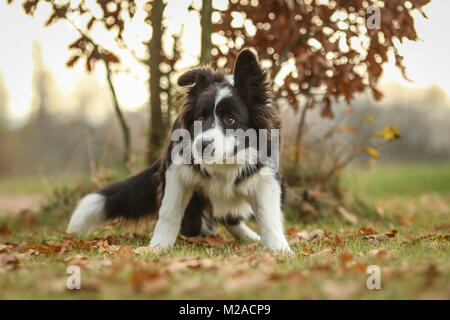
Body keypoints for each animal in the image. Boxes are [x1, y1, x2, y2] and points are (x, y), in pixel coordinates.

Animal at [67, 50, 292, 254]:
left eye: (230, 119)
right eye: (200, 117)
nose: (201, 145)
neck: (224, 163)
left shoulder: (266, 176)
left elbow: (268, 217)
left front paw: (279, 250)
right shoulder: (177, 172)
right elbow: (169, 212)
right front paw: (157, 248)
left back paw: (247, 237)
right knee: (198, 222)